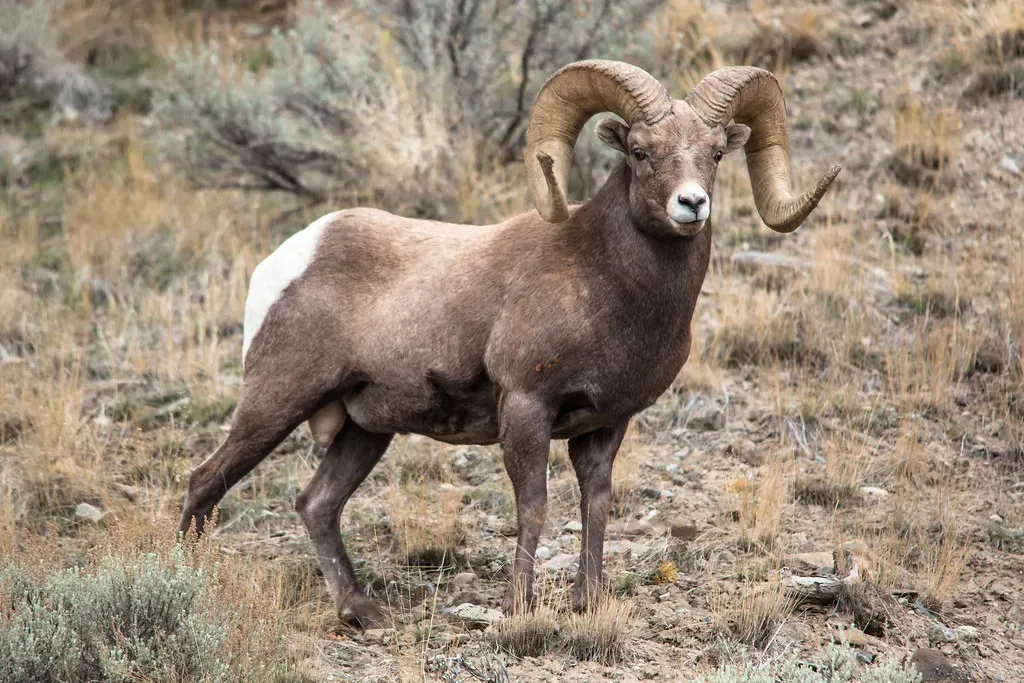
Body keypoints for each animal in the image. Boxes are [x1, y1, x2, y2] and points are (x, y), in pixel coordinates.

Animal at [178, 60, 841, 628]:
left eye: (715, 154)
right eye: (639, 151)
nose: (691, 204)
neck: (602, 283)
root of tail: (288, 257)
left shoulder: (606, 426)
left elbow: (596, 506)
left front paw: (588, 602)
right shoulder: (526, 408)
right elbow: (534, 507)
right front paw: (520, 608)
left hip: (364, 431)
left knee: (316, 504)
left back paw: (361, 611)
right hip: (275, 403)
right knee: (205, 482)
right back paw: (191, 582)